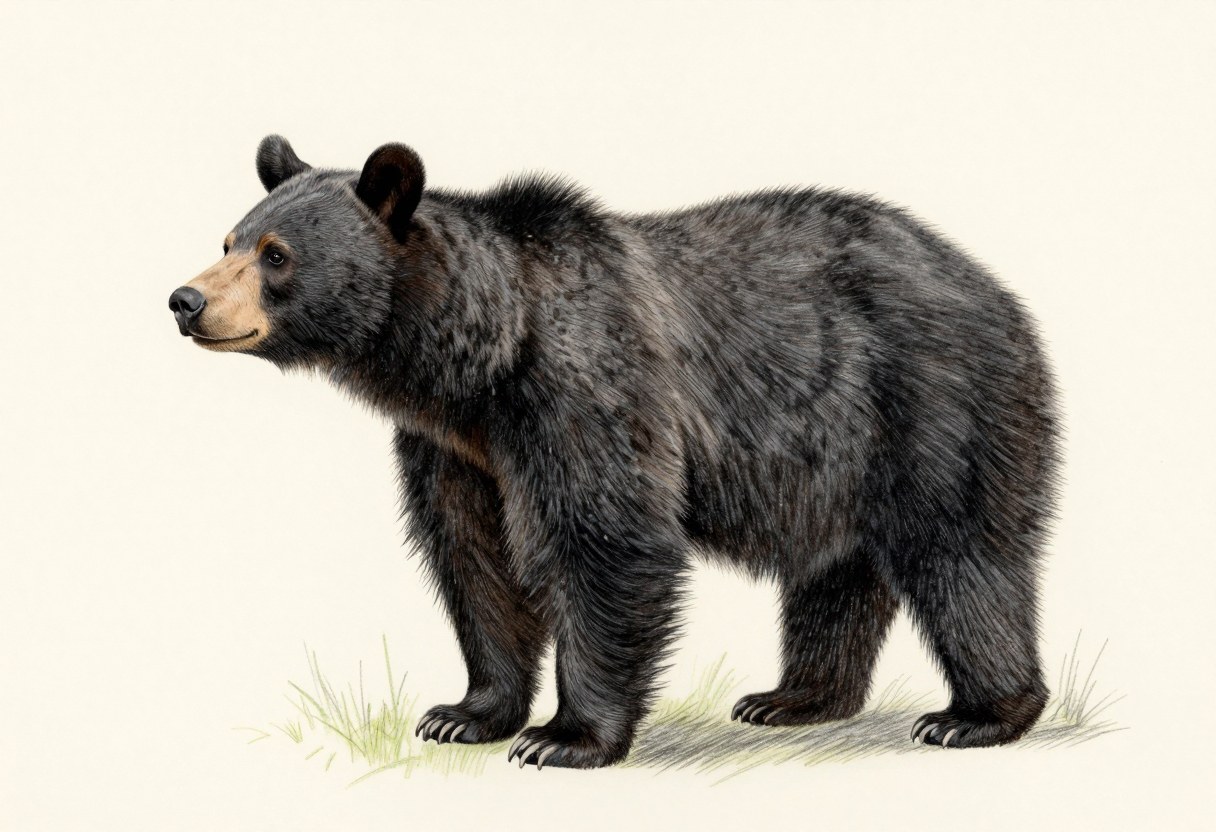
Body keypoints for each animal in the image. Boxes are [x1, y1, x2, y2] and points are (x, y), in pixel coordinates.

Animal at [169, 135, 1059, 769]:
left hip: (929, 399)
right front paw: (466, 713)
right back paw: (794, 698)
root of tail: (990, 284)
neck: (479, 359)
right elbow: (473, 557)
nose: (186, 299)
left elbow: (605, 537)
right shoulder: (457, 448)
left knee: (963, 554)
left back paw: (976, 716)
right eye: (228, 238)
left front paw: (564, 737)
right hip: (834, 453)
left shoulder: (583, 386)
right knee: (834, 568)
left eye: (276, 254)